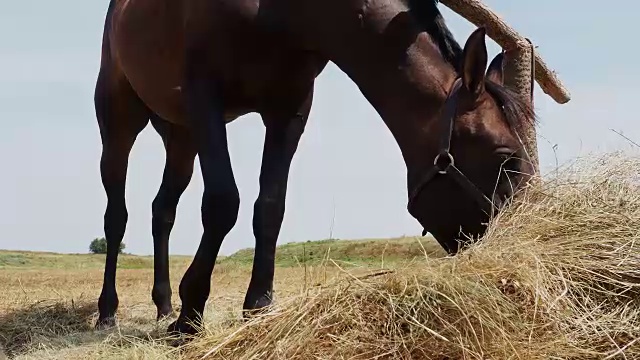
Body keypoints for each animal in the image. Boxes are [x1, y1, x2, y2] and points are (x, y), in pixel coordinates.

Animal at [95, 0, 536, 334]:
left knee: (162, 211)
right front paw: (191, 312)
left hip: (180, 136)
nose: (508, 252)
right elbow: (223, 202)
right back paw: (107, 311)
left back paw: (163, 304)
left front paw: (257, 304)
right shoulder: (206, 99)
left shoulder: (290, 109)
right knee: (116, 215)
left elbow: (270, 205)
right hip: (120, 118)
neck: (282, 12)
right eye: (505, 156)